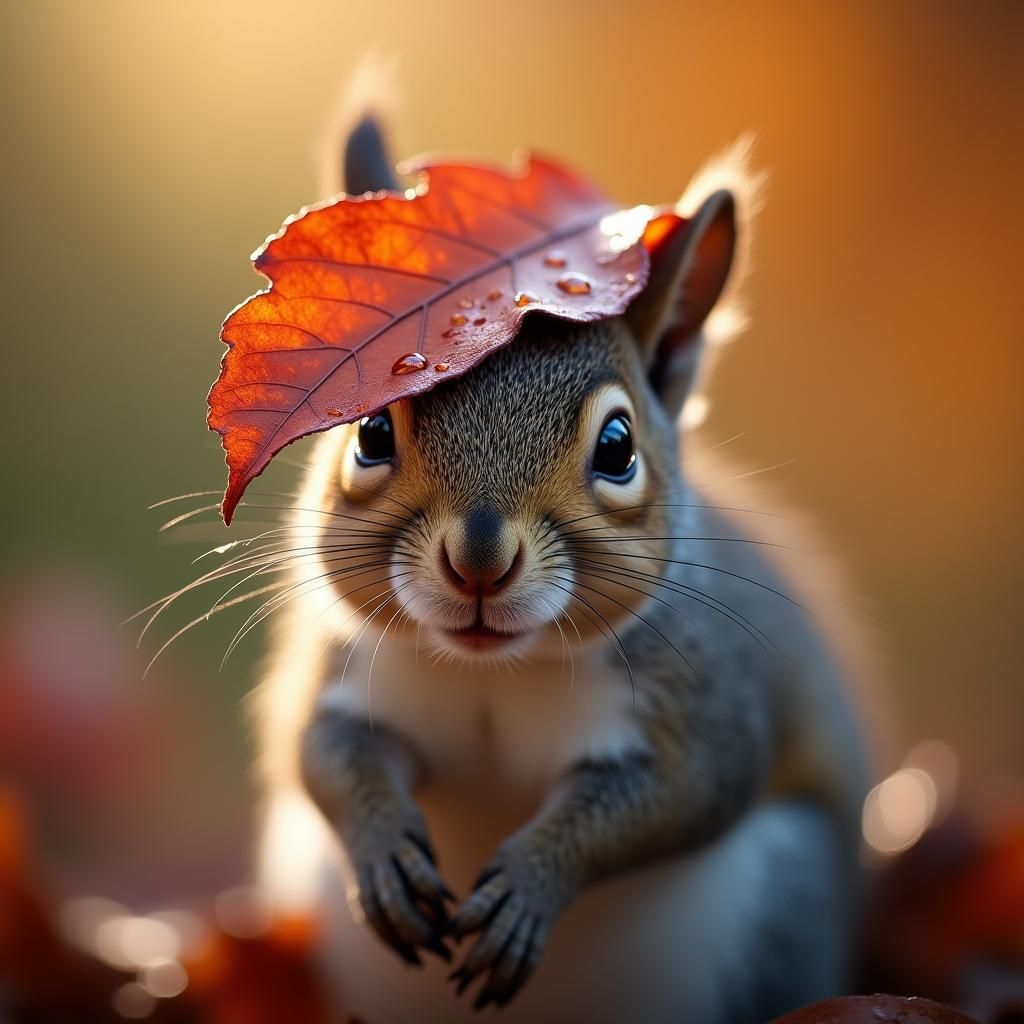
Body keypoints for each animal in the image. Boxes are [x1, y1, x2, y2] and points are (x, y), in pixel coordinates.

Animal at [249, 83, 874, 1024]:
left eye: (618, 446)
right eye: (369, 432)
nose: (477, 560)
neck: (492, 677)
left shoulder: (705, 700)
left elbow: (679, 796)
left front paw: (532, 884)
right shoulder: (341, 668)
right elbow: (317, 748)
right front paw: (383, 848)